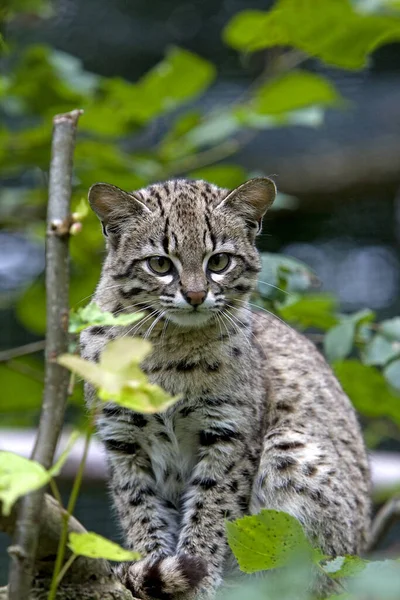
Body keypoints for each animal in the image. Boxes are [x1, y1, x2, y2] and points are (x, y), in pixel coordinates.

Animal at [79, 178, 370, 600]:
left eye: (218, 262)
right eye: (160, 264)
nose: (196, 296)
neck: (169, 345)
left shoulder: (229, 435)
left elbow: (212, 512)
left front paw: (199, 580)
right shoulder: (123, 442)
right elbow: (140, 512)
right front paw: (152, 568)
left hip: (289, 447)